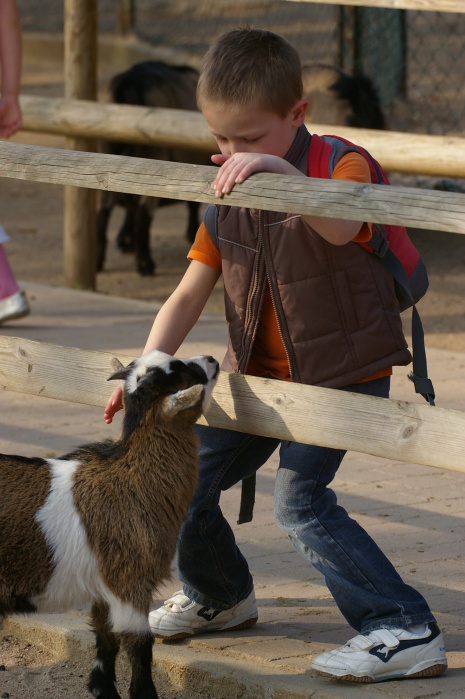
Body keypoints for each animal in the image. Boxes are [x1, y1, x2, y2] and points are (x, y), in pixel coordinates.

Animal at [0, 352, 219, 699]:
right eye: (180, 371)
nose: (211, 359)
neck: (130, 480)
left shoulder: (105, 584)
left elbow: (106, 637)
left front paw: (101, 689)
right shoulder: (129, 578)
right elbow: (139, 645)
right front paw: (143, 694)